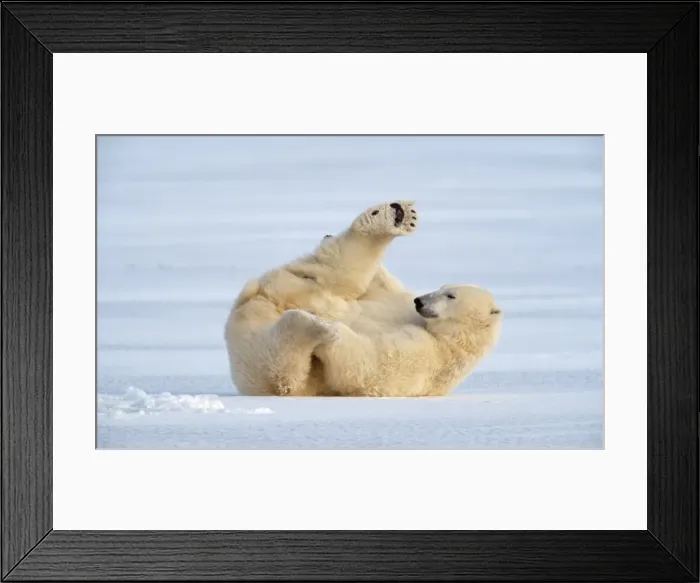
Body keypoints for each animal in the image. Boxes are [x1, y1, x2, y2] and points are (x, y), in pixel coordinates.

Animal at [311, 284, 503, 397]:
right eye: (441, 288)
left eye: (450, 295)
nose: (419, 301)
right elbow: (386, 291)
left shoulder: (425, 355)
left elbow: (367, 364)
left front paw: (324, 325)